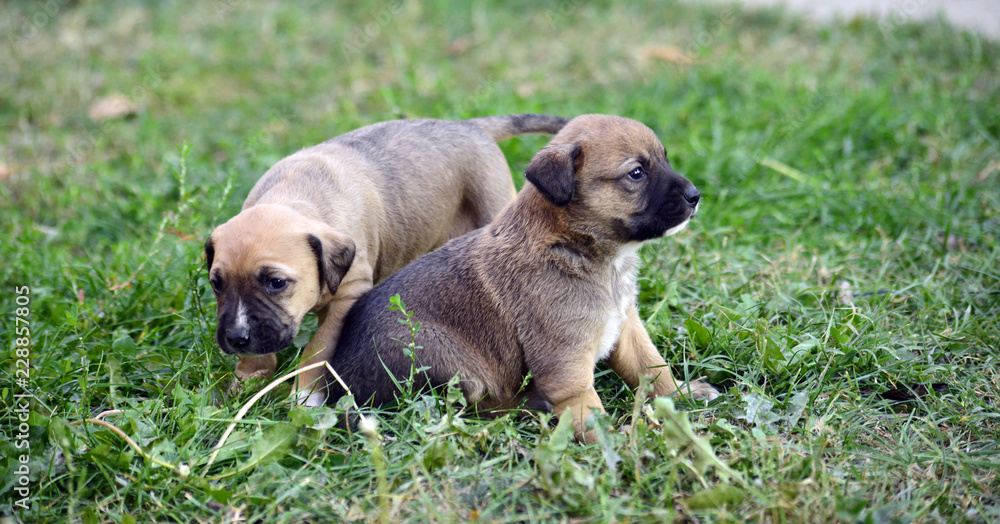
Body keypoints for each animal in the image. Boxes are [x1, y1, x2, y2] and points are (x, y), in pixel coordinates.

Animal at [203, 114, 572, 406]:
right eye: (216, 285)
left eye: (276, 283)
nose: (236, 339)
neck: (295, 197)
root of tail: (469, 125)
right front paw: (250, 377)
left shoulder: (346, 296)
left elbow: (316, 352)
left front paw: (305, 397)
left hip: (492, 204)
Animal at [326, 114, 720, 442]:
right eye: (637, 173)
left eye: (664, 159)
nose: (696, 196)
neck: (577, 246)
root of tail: (337, 382)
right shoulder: (566, 366)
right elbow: (590, 411)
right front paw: (619, 443)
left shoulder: (626, 326)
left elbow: (652, 367)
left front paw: (682, 393)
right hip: (443, 357)